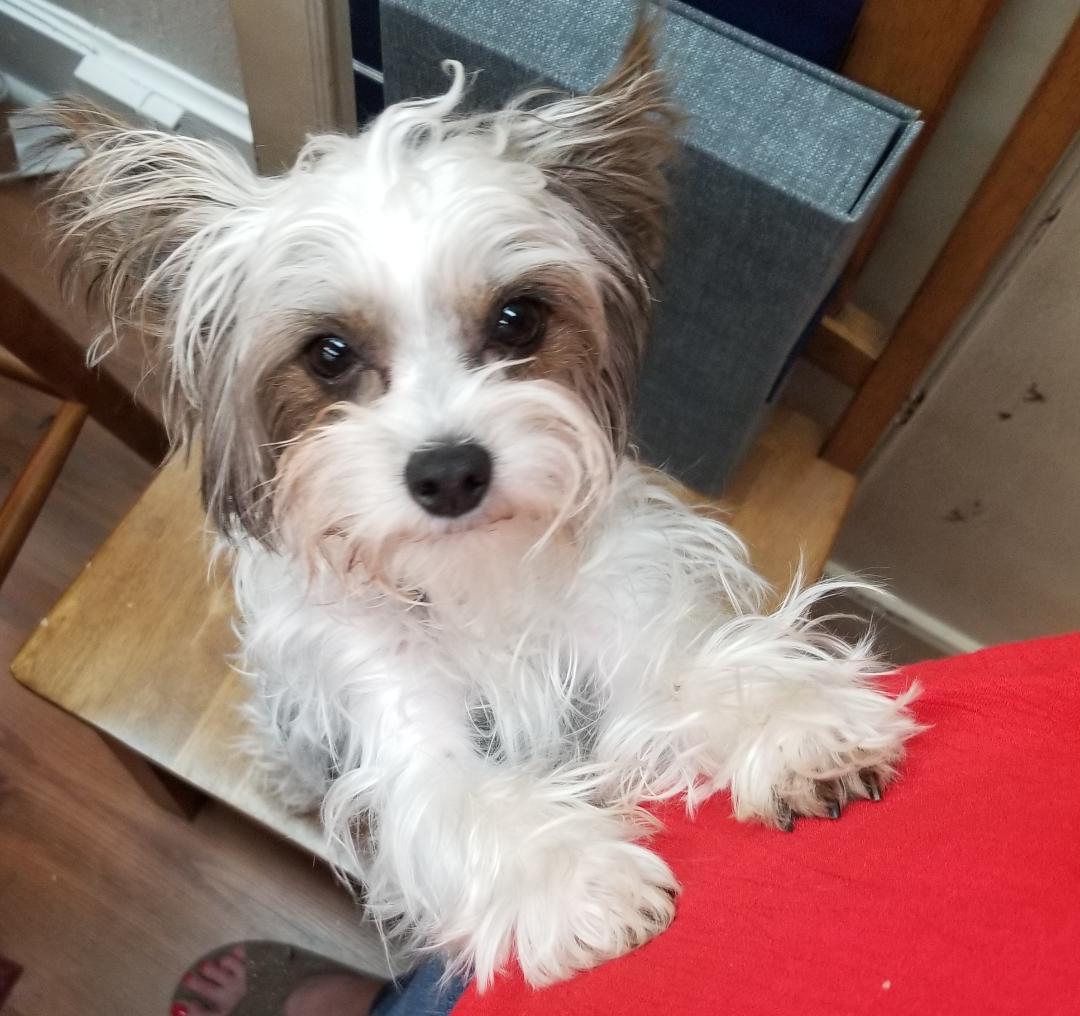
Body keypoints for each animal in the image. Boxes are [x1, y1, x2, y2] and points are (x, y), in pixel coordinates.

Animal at [42, 10, 919, 990]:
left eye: (518, 318)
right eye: (329, 354)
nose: (451, 471)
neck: (472, 577)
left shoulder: (613, 615)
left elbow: (687, 666)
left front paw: (794, 720)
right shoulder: (394, 713)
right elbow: (458, 796)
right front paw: (578, 885)